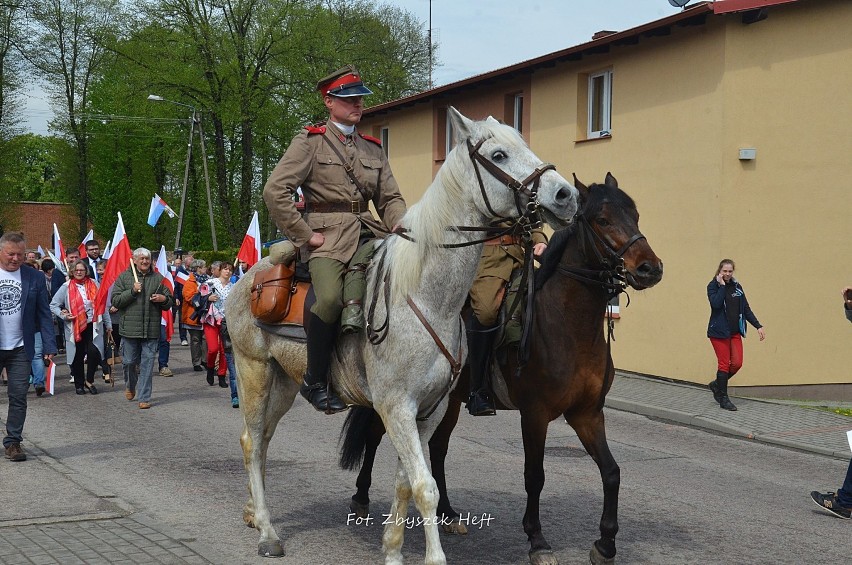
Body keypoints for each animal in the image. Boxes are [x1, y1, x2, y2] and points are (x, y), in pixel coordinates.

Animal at [226, 107, 580, 564]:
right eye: (499, 154)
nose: (565, 195)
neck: (427, 297)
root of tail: (247, 277)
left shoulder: (428, 410)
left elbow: (404, 482)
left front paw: (393, 550)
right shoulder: (396, 408)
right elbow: (426, 487)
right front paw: (433, 556)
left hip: (285, 381)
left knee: (263, 439)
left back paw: (254, 512)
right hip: (253, 371)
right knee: (252, 442)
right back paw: (267, 531)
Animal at [340, 173, 664, 564]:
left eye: (635, 215)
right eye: (602, 220)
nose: (650, 268)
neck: (569, 325)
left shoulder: (587, 413)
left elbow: (612, 472)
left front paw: (605, 543)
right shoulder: (535, 414)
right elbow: (535, 475)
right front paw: (537, 540)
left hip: (449, 401)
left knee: (438, 449)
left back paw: (449, 514)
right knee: (375, 436)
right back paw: (360, 498)